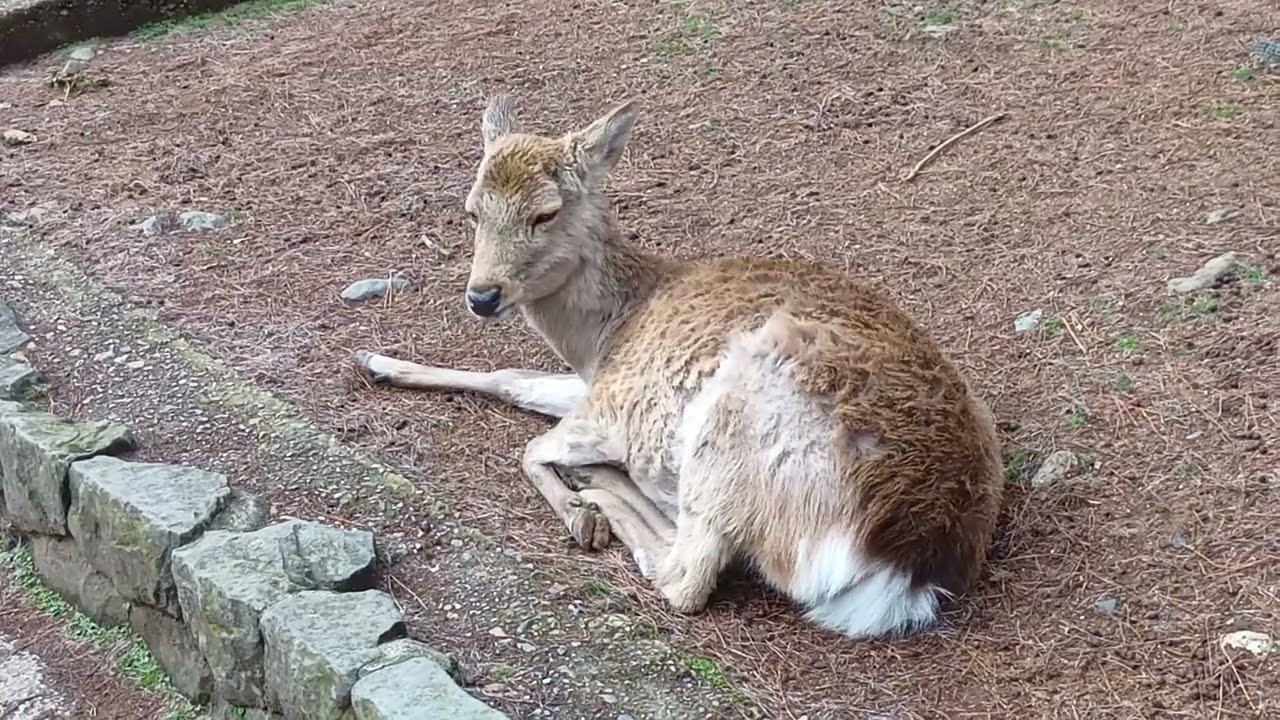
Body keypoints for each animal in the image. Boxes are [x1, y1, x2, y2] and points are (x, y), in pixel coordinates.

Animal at [354, 96, 1005, 638]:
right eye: (471, 210)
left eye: (545, 213)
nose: (482, 296)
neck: (610, 331)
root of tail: (910, 560)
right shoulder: (596, 383)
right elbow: (513, 379)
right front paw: (373, 361)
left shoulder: (615, 403)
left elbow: (530, 447)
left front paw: (578, 510)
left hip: (732, 426)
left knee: (687, 576)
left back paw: (604, 493)